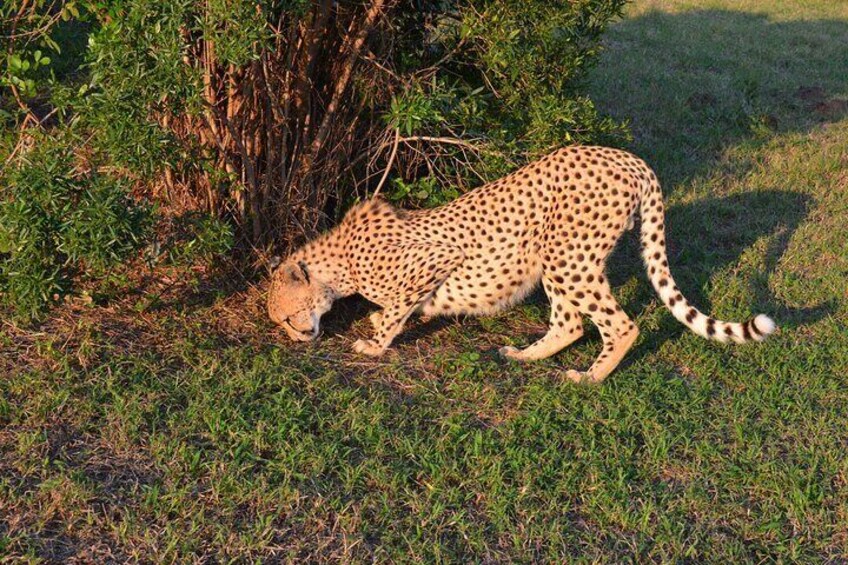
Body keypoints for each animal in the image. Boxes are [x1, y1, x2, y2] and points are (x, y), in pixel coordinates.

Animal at [266, 145, 776, 384]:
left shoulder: (435, 259)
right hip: (556, 260)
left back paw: (590, 377)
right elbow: (408, 308)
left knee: (620, 325)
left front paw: (373, 345)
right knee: (571, 324)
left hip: (567, 256)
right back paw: (526, 355)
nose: (301, 338)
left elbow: (395, 311)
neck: (336, 263)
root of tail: (630, 159)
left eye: (289, 318)